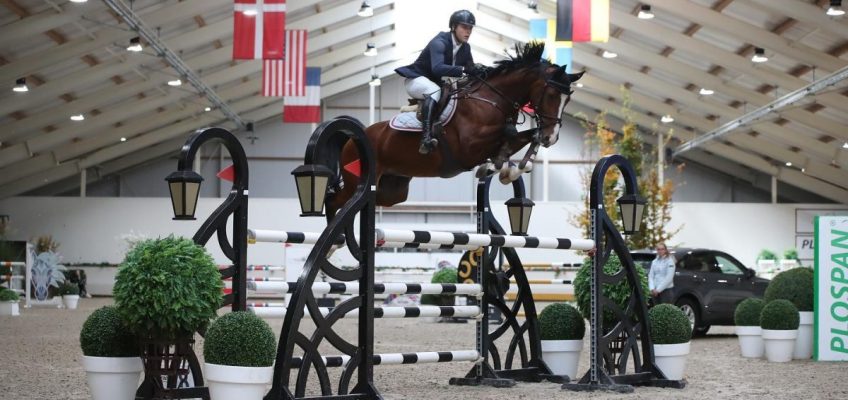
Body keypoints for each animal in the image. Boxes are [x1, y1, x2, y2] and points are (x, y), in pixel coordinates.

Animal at [330, 42, 584, 212]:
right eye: (551, 95)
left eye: (568, 99)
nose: (553, 137)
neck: (492, 99)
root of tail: (354, 138)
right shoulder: (469, 148)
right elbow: (510, 136)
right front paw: (498, 167)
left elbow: (526, 138)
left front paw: (511, 168)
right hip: (358, 181)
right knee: (336, 200)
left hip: (392, 189)